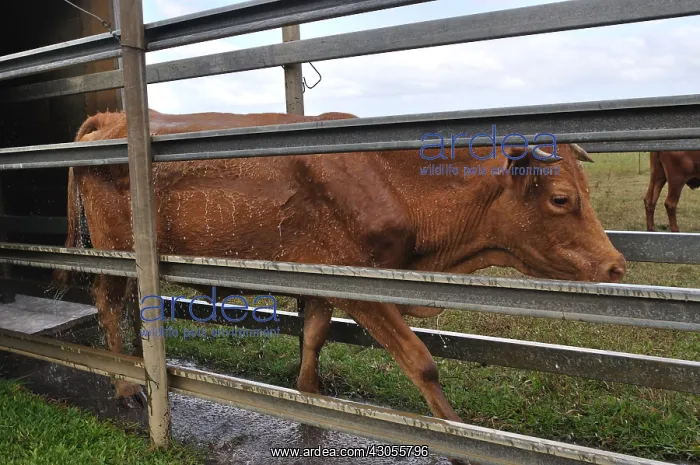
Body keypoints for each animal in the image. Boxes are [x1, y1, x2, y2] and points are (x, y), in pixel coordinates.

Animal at [53, 109, 626, 462]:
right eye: (560, 199)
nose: (617, 266)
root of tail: (112, 118)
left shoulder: (319, 277)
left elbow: (313, 337)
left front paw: (310, 400)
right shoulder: (360, 286)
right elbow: (421, 361)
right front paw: (460, 438)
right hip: (115, 254)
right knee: (108, 305)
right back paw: (126, 384)